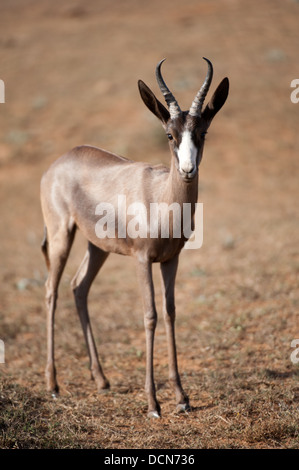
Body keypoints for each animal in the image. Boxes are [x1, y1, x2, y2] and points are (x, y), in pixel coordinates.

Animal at [40, 58, 230, 418]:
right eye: (169, 133)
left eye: (202, 132)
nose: (187, 170)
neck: (161, 199)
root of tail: (59, 162)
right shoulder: (142, 260)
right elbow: (150, 315)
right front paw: (153, 403)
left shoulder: (171, 260)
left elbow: (170, 312)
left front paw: (182, 398)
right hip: (61, 235)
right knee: (51, 291)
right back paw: (53, 385)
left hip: (96, 247)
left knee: (78, 286)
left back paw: (101, 380)